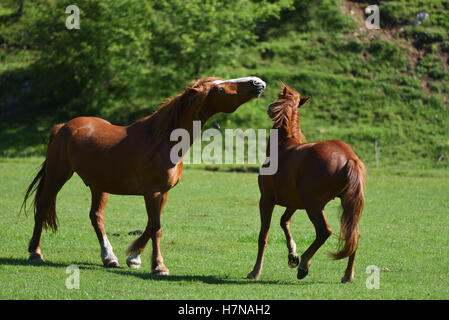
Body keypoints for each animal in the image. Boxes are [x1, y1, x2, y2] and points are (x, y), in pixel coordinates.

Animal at [21, 76, 264, 274]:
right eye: (220, 89)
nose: (257, 83)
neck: (162, 141)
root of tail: (63, 127)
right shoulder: (152, 192)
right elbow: (156, 228)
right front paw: (159, 266)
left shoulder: (163, 193)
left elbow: (151, 225)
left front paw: (135, 257)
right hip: (57, 176)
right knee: (42, 208)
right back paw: (36, 252)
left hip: (99, 186)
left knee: (96, 217)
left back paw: (109, 257)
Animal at [247, 84, 366, 282]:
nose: (269, 106)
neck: (283, 146)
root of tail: (349, 157)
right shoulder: (294, 203)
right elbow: (284, 222)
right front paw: (292, 255)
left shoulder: (266, 200)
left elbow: (263, 234)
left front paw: (256, 271)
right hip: (344, 204)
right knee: (353, 234)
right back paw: (347, 275)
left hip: (314, 206)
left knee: (324, 231)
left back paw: (304, 264)